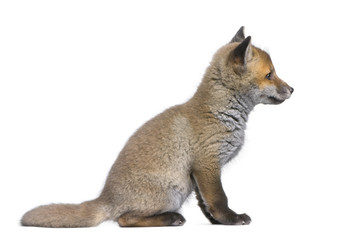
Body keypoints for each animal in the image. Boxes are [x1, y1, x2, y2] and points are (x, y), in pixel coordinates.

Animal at [20, 26, 292, 227]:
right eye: (270, 75)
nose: (292, 89)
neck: (219, 114)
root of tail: (104, 197)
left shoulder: (199, 174)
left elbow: (205, 204)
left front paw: (215, 222)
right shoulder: (207, 164)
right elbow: (219, 199)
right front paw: (231, 220)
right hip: (171, 193)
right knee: (123, 219)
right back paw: (169, 219)